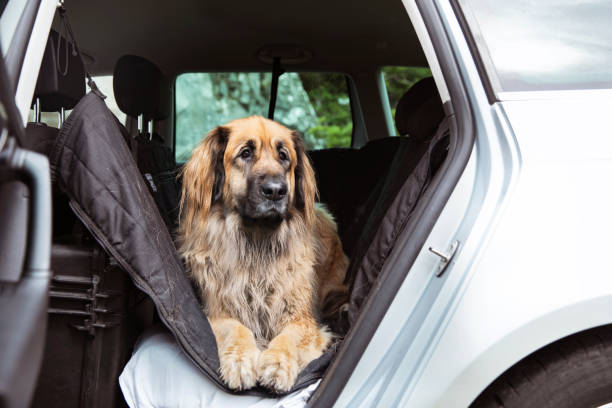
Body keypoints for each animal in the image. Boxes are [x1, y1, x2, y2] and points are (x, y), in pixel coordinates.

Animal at [179, 115, 346, 392]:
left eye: (283, 156)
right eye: (245, 153)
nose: (276, 190)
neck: (257, 242)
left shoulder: (302, 320)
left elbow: (289, 337)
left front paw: (277, 363)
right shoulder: (217, 311)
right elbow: (237, 328)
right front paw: (241, 359)